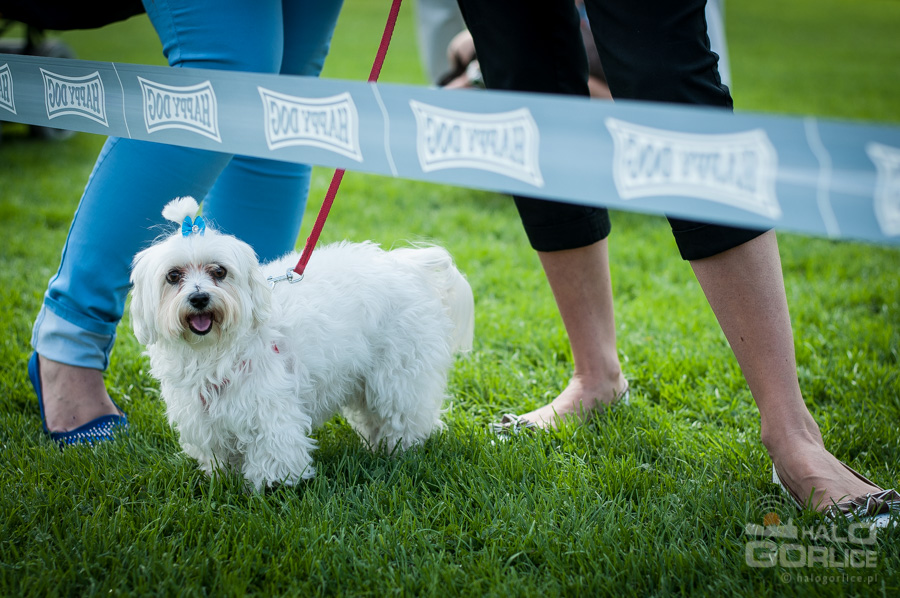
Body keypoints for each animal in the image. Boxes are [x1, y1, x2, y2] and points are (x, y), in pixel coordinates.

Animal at [129, 197, 474, 490]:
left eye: (219, 271)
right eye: (173, 276)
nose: (199, 298)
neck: (213, 352)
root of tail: (410, 266)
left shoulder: (268, 410)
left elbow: (274, 453)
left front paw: (274, 488)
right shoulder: (204, 417)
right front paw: (222, 479)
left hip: (398, 375)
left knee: (404, 415)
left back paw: (399, 451)